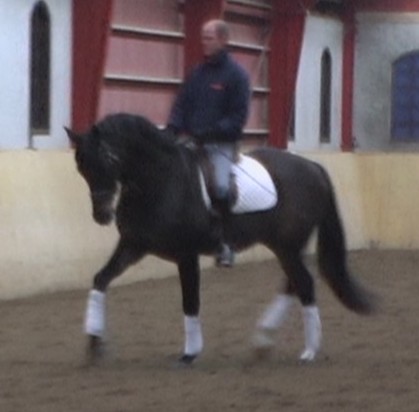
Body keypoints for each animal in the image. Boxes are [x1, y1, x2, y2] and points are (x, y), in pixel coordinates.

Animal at [65, 113, 373, 365]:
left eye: (109, 159)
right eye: (81, 166)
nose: (102, 215)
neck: (160, 180)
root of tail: (312, 166)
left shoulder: (186, 254)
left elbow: (190, 301)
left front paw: (190, 353)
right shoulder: (134, 245)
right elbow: (100, 279)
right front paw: (94, 342)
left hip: (286, 245)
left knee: (304, 283)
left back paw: (309, 351)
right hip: (285, 246)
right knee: (293, 284)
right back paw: (265, 339)